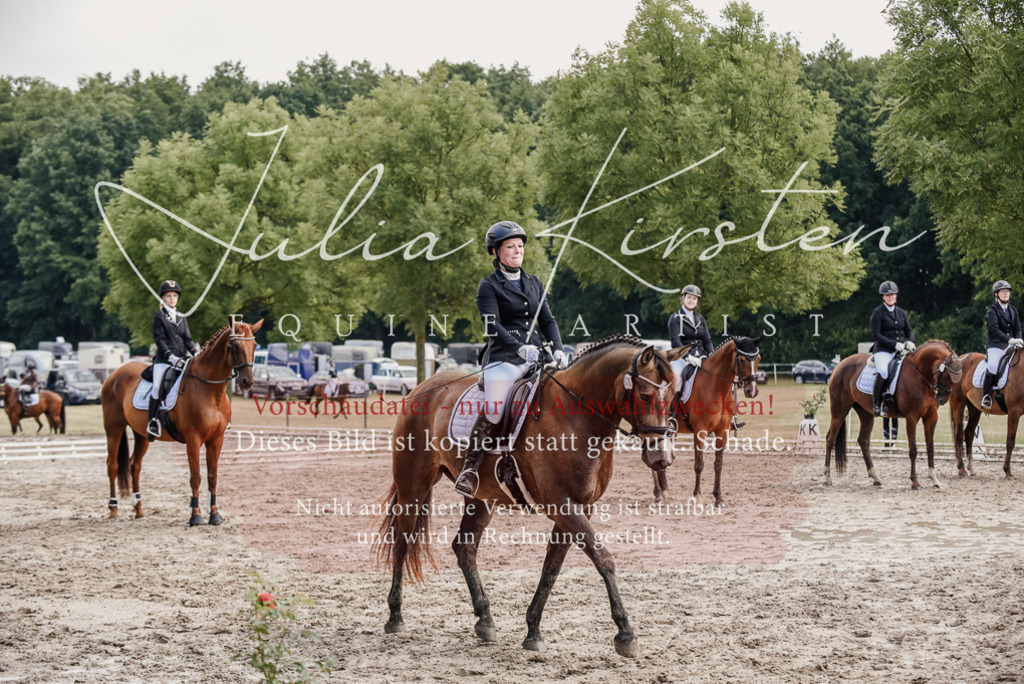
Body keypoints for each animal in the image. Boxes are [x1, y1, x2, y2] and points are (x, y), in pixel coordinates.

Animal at [100, 319, 261, 525]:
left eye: (254, 345)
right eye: (235, 345)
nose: (247, 382)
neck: (210, 390)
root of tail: (114, 374)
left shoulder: (216, 440)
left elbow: (212, 476)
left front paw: (214, 515)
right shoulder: (193, 439)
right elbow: (195, 477)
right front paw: (196, 516)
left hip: (142, 434)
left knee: (134, 465)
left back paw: (139, 509)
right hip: (114, 428)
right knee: (112, 465)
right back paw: (113, 509)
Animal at [374, 336, 686, 657]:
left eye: (674, 395)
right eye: (646, 396)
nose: (661, 457)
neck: (578, 416)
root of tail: (423, 386)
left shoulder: (577, 509)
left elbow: (553, 567)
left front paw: (533, 629)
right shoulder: (563, 506)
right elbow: (603, 558)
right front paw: (625, 633)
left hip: (480, 498)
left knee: (465, 548)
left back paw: (485, 620)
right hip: (413, 486)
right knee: (401, 543)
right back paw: (395, 617)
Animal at [654, 336, 763, 506]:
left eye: (758, 358)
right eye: (742, 359)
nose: (752, 391)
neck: (716, 387)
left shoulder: (723, 431)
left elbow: (718, 465)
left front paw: (718, 497)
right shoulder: (700, 431)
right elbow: (699, 464)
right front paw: (697, 495)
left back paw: (664, 493)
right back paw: (658, 494)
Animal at [823, 340, 962, 490]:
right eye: (947, 375)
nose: (942, 399)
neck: (919, 374)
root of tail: (840, 365)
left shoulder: (931, 417)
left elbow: (930, 447)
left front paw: (935, 480)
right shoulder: (911, 418)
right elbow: (913, 450)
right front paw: (915, 482)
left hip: (865, 413)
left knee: (863, 440)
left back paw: (876, 478)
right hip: (839, 410)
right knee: (830, 439)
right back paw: (827, 478)